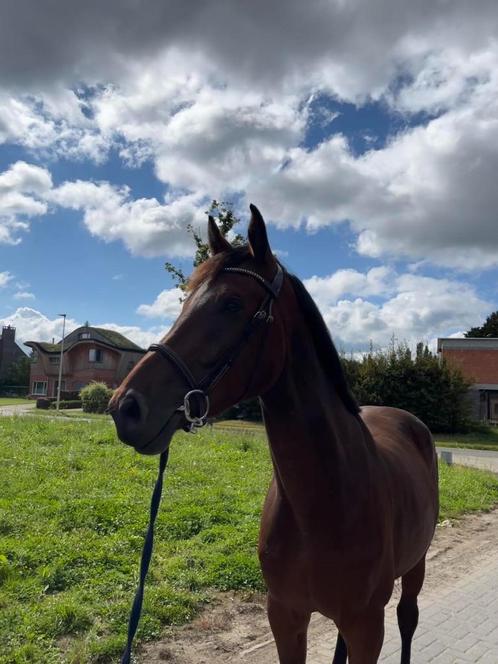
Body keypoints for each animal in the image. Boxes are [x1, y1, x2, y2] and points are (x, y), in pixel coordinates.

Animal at [111, 205, 438, 660]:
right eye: (185, 301)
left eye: (232, 303)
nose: (125, 407)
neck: (323, 502)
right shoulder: (285, 617)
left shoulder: (367, 626)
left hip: (416, 567)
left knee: (409, 619)